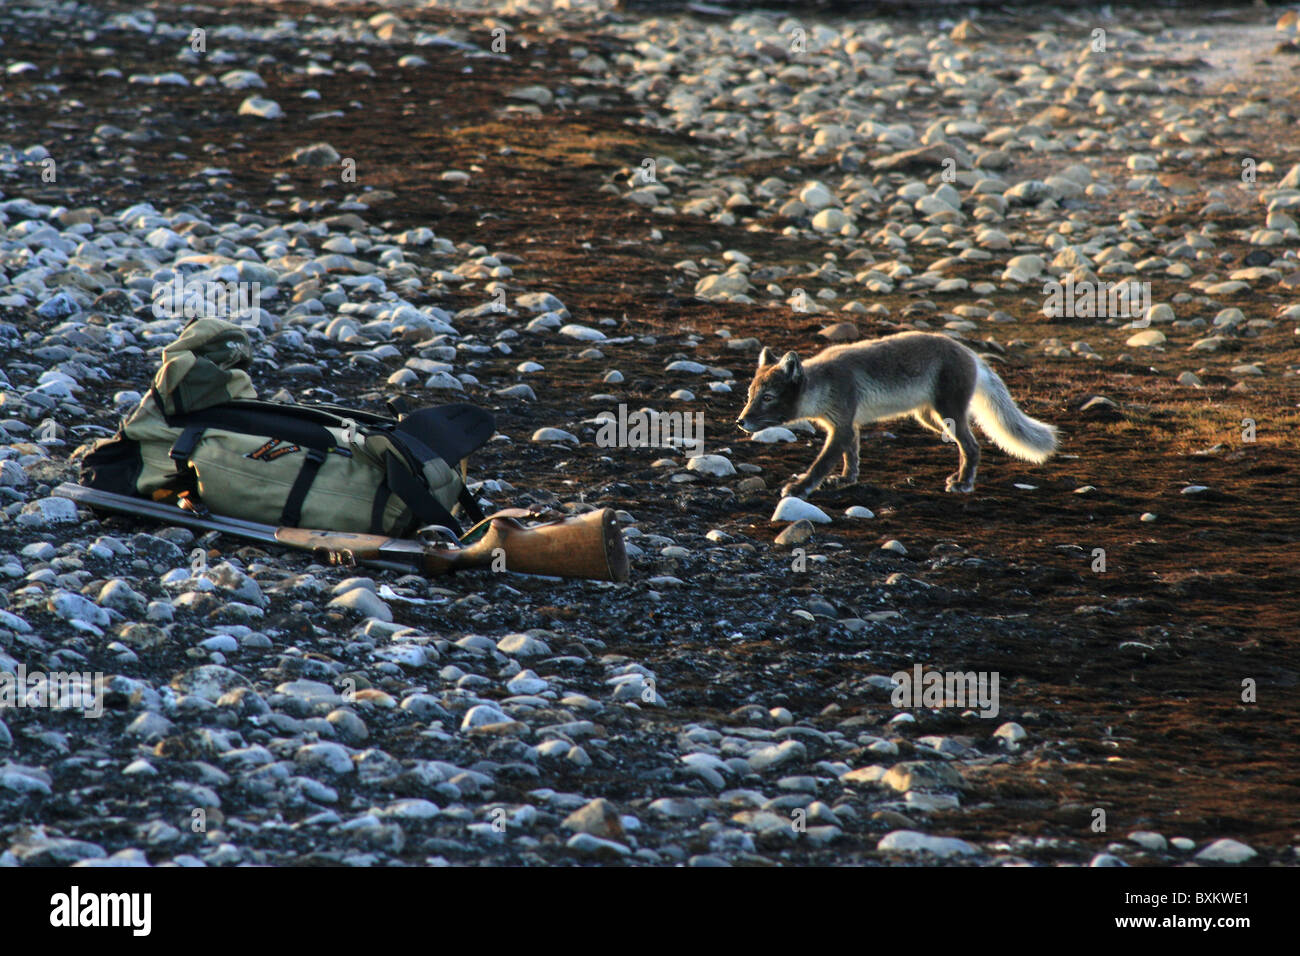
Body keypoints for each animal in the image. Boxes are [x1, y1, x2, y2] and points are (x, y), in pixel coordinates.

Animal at [743, 330, 1055, 496]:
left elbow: (821, 463)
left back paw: (964, 483)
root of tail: (970, 352)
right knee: (969, 442)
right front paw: (846, 479)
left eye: (768, 398)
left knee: (973, 445)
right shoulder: (848, 425)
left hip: (948, 416)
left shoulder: (840, 426)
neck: (825, 383)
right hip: (931, 420)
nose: (740, 421)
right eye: (749, 396)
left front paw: (800, 488)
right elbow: (851, 456)